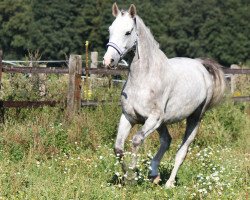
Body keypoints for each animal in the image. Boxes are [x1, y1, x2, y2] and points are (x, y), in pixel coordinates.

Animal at [102, 2, 226, 188]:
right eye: (110, 29)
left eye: (128, 32)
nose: (108, 61)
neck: (144, 78)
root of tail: (200, 65)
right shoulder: (128, 117)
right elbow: (118, 148)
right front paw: (125, 176)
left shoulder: (153, 119)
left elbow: (136, 140)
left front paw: (131, 177)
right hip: (163, 123)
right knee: (167, 141)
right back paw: (154, 174)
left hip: (194, 118)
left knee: (182, 151)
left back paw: (168, 184)